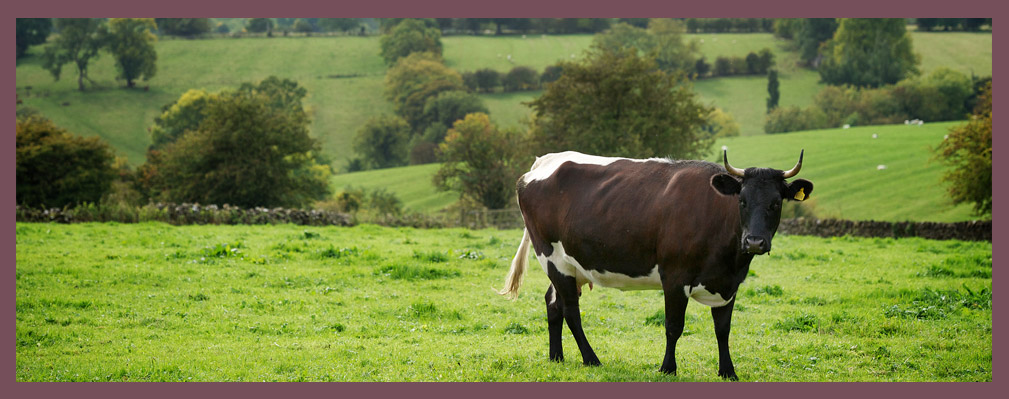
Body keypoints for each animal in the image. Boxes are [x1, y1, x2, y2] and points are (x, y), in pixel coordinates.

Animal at [500, 149, 815, 381]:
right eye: (743, 201)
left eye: (776, 203)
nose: (754, 242)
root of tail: (543, 161)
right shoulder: (675, 276)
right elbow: (673, 326)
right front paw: (667, 369)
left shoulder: (729, 282)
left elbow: (723, 329)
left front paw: (728, 372)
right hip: (552, 257)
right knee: (569, 311)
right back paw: (591, 360)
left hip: (568, 265)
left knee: (552, 304)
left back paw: (557, 358)